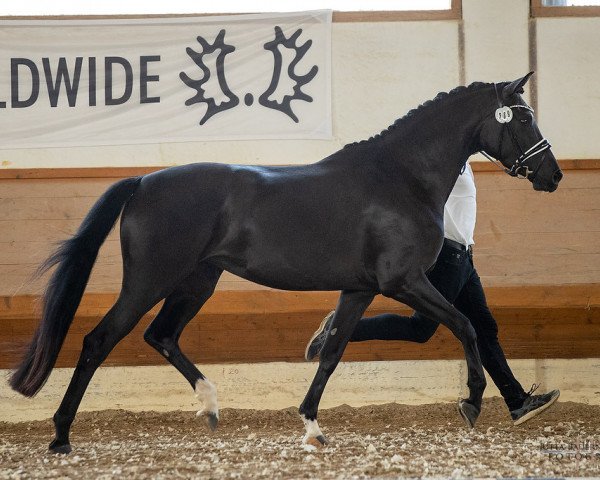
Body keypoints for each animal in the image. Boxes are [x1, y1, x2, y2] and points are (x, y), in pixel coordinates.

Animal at [10, 72, 564, 454]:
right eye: (524, 118)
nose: (552, 175)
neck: (400, 177)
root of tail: (143, 181)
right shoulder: (403, 282)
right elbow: (467, 325)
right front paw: (471, 402)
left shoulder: (360, 288)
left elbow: (333, 351)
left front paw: (312, 426)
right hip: (149, 281)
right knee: (98, 341)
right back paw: (61, 436)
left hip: (196, 281)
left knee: (160, 335)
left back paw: (210, 406)